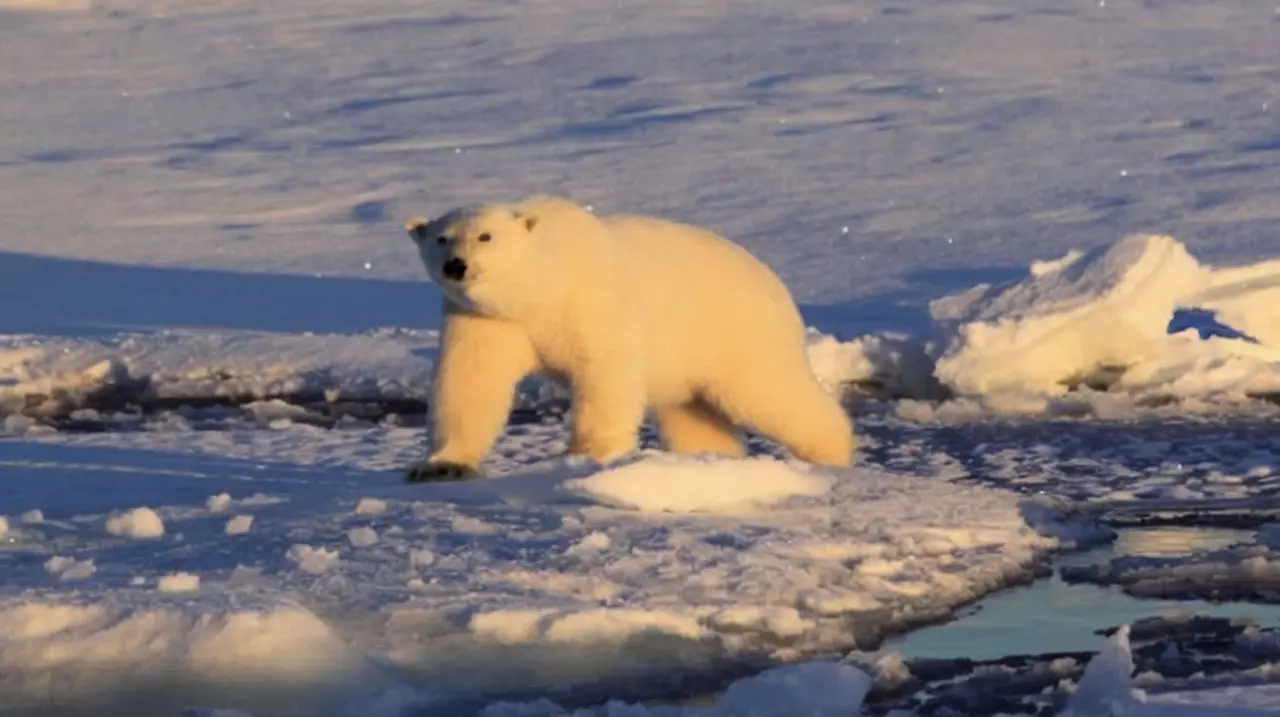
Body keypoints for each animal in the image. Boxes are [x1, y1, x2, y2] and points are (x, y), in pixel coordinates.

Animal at [402, 195, 854, 482]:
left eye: (485, 236)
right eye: (441, 237)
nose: (456, 266)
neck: (541, 288)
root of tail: (775, 282)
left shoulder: (590, 298)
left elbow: (603, 370)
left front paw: (584, 453)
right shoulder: (483, 317)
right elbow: (470, 381)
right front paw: (441, 466)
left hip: (735, 331)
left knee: (769, 392)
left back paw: (831, 452)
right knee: (693, 415)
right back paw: (710, 459)